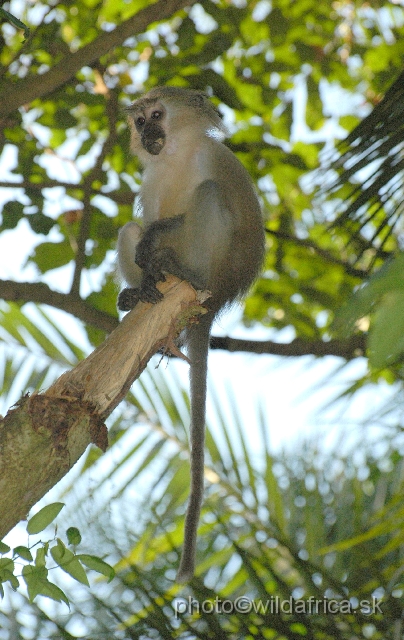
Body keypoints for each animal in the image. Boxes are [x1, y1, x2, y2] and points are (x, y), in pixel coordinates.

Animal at [116, 85, 266, 580]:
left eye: (157, 115)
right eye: (140, 121)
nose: (149, 133)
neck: (174, 155)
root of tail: (213, 304)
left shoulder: (215, 159)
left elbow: (217, 206)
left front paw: (159, 236)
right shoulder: (151, 181)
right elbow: (142, 226)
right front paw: (142, 272)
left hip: (216, 267)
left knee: (209, 196)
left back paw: (184, 270)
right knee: (131, 230)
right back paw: (142, 291)